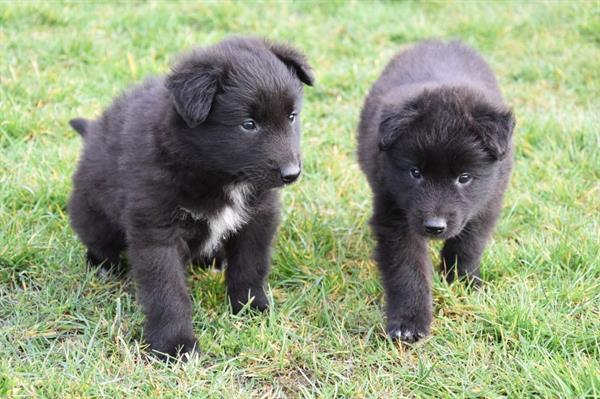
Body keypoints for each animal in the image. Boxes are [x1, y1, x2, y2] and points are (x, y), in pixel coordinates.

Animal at [68, 37, 314, 360]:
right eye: (248, 124)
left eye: (291, 116)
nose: (291, 173)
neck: (220, 175)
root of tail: (93, 130)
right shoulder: (157, 229)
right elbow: (167, 291)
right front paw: (174, 345)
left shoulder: (258, 217)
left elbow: (250, 265)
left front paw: (251, 307)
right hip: (94, 214)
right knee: (98, 241)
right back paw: (103, 266)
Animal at [356, 40, 516, 344]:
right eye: (415, 173)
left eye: (464, 178)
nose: (434, 226)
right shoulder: (394, 210)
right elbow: (407, 268)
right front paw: (409, 322)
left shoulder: (487, 203)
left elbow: (468, 244)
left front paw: (462, 281)